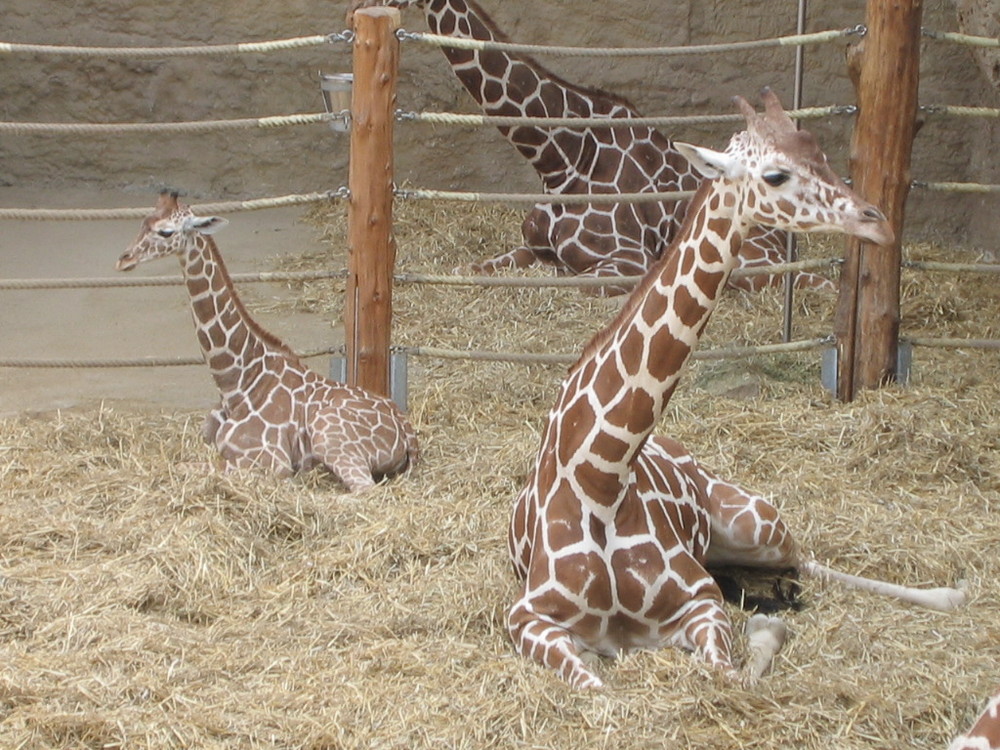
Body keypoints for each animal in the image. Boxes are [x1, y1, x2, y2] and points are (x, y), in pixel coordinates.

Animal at [117, 192, 418, 494]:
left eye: (166, 231)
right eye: (143, 222)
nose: (124, 259)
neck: (234, 382)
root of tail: (408, 432)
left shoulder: (269, 461)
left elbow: (185, 467)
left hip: (331, 438)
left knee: (364, 489)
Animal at [348, 0, 832, 294]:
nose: (354, 10)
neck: (559, 158)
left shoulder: (627, 261)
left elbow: (573, 282)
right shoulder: (527, 247)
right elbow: (470, 271)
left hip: (752, 261)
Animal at [504, 86, 964, 688]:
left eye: (823, 155)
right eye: (775, 174)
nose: (877, 221)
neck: (602, 477)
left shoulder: (700, 600)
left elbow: (731, 674)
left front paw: (767, 626)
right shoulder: (527, 618)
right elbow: (596, 684)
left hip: (757, 522)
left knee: (804, 558)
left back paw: (947, 594)